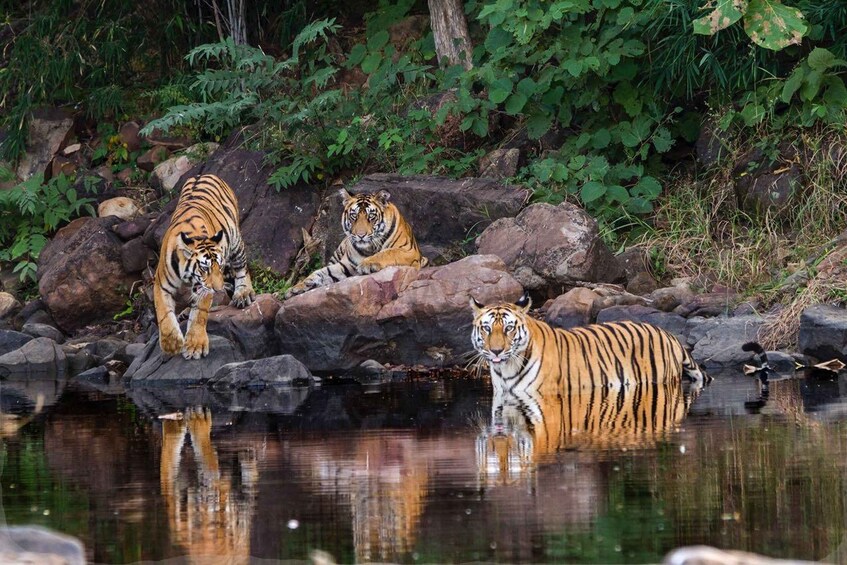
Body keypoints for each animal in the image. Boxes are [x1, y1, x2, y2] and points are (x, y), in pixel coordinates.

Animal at [153, 174, 255, 359]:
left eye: (219, 267)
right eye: (204, 268)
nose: (218, 288)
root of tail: (203, 174)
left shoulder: (205, 288)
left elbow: (200, 314)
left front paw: (195, 346)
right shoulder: (161, 284)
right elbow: (163, 313)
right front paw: (171, 344)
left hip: (235, 239)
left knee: (241, 268)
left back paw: (243, 293)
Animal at [283, 188, 427, 299]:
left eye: (371, 217)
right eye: (354, 216)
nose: (360, 235)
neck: (370, 248)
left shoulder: (409, 251)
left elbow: (388, 252)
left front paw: (366, 264)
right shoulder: (346, 265)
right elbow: (323, 272)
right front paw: (299, 286)